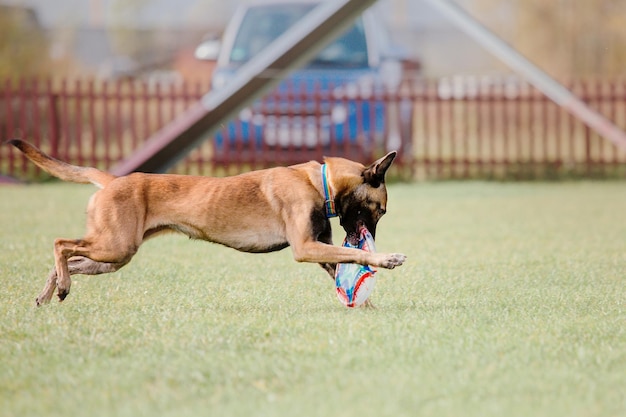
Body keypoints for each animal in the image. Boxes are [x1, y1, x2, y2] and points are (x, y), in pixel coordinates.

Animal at [8, 138, 404, 304]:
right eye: (380, 211)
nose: (366, 234)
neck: (318, 181)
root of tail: (113, 180)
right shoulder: (307, 247)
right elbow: (354, 255)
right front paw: (386, 258)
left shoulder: (320, 248)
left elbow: (342, 268)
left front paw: (367, 305)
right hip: (114, 246)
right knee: (60, 244)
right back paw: (60, 286)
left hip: (114, 254)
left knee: (67, 259)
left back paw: (49, 292)